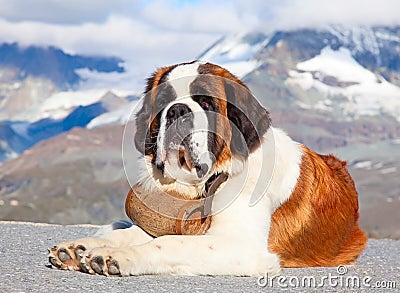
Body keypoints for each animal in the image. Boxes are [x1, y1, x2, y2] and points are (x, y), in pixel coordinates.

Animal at [48, 60, 368, 274]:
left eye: (206, 102)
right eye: (163, 101)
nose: (177, 110)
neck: (208, 181)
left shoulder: (241, 246)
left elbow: (169, 243)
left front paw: (117, 256)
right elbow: (134, 233)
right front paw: (81, 247)